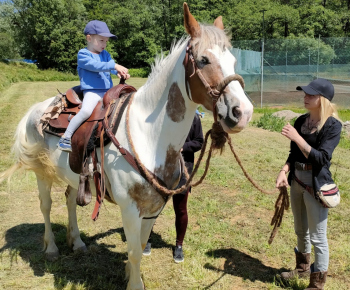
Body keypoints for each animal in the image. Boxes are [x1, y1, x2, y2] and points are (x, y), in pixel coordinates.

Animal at [0, 3, 252, 288]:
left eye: (233, 61)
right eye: (203, 60)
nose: (243, 112)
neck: (150, 136)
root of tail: (36, 110)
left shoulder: (153, 209)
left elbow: (140, 246)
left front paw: (130, 275)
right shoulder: (130, 209)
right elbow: (133, 252)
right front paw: (134, 282)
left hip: (74, 176)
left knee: (69, 201)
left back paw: (77, 243)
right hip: (42, 173)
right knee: (46, 205)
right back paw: (52, 248)